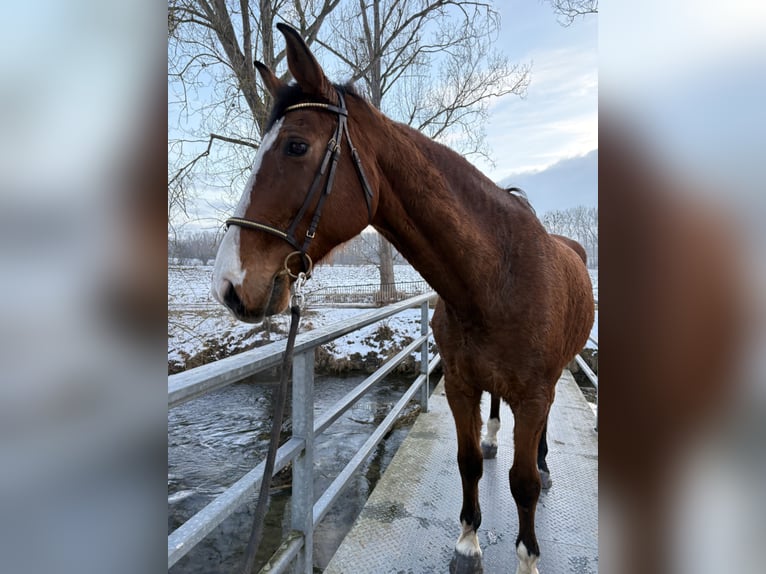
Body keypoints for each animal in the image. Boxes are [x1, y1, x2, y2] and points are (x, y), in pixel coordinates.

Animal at [211, 24, 594, 574]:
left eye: (296, 146)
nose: (228, 284)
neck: (494, 279)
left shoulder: (534, 393)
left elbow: (523, 484)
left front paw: (527, 557)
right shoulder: (459, 385)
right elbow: (467, 463)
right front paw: (468, 542)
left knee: (537, 448)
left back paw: (540, 461)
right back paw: (493, 437)